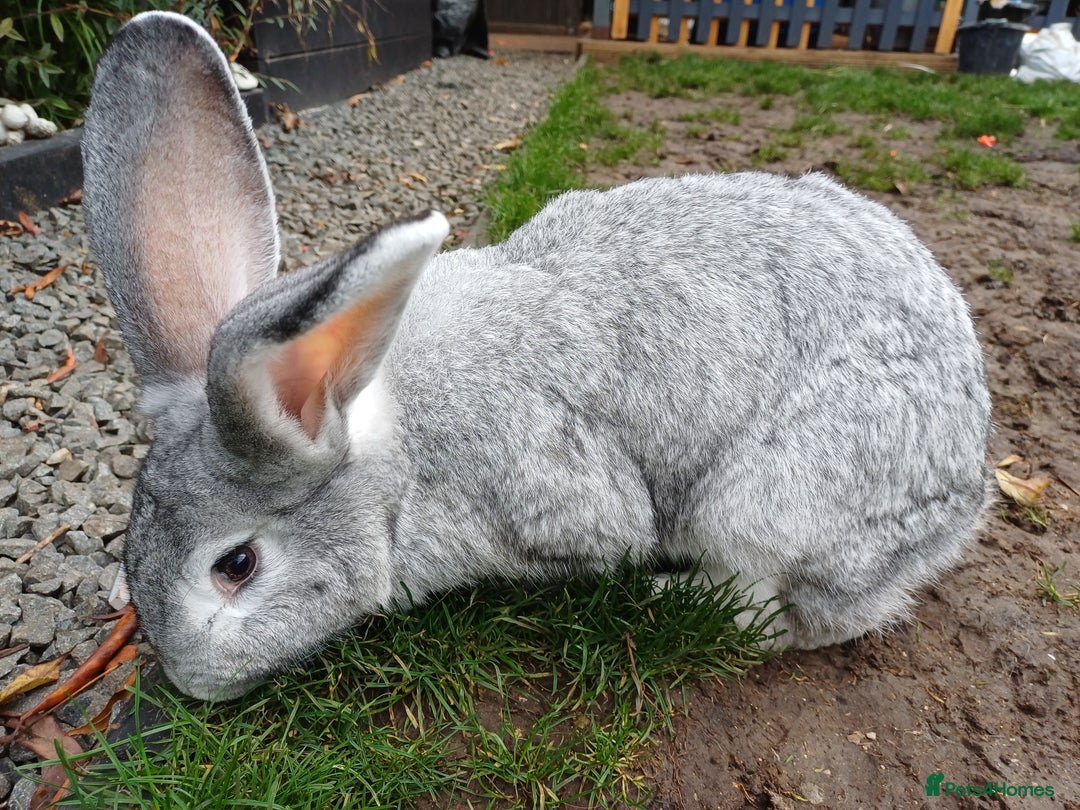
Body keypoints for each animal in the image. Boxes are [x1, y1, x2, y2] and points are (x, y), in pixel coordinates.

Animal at [81, 11, 993, 701]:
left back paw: (676, 596)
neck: (396, 455)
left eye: (236, 566)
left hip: (767, 504)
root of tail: (964, 492)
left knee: (781, 612)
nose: (192, 684)